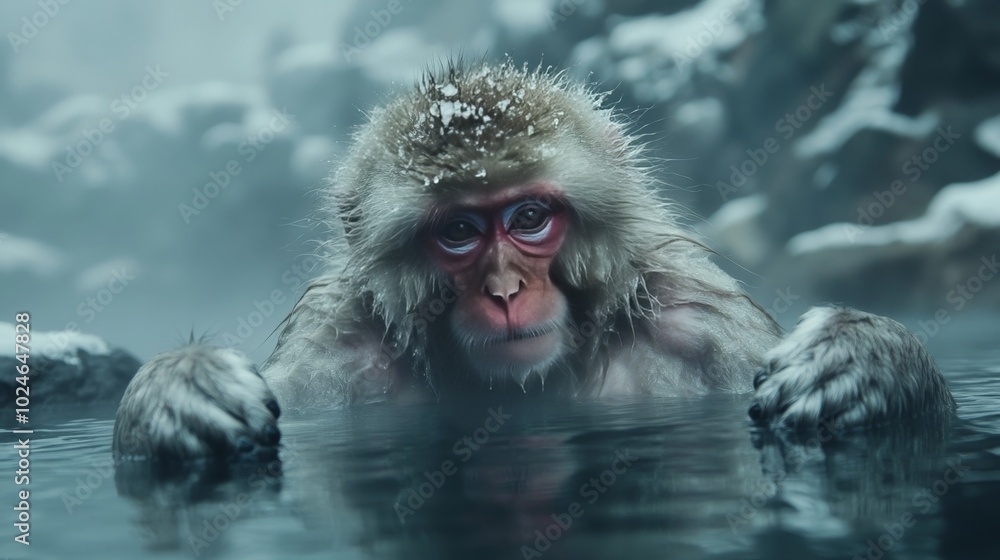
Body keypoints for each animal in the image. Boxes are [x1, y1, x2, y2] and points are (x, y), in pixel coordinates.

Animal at [112, 61, 955, 461]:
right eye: (458, 231)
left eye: (527, 218)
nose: (506, 289)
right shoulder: (332, 356)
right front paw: (177, 391)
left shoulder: (701, 327)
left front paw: (864, 359)